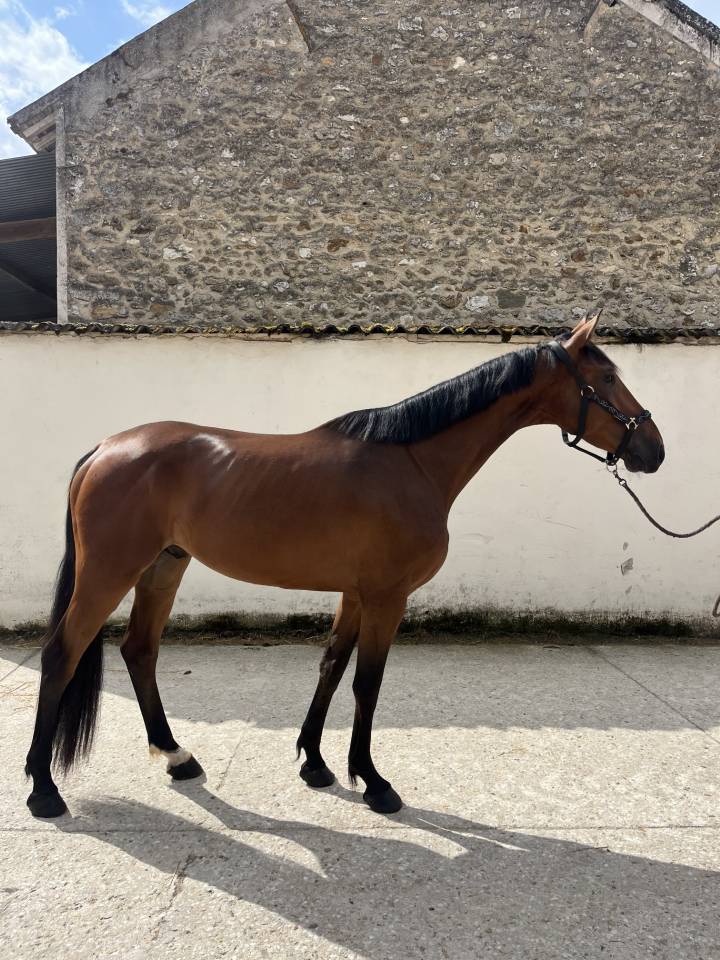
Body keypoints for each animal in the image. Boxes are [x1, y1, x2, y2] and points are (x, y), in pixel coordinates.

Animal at [25, 314, 665, 819]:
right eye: (609, 379)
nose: (653, 450)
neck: (412, 462)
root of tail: (105, 448)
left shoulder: (357, 594)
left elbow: (332, 665)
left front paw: (314, 763)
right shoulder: (387, 596)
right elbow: (366, 682)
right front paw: (374, 782)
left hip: (164, 567)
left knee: (140, 650)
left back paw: (176, 756)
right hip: (109, 573)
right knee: (63, 653)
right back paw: (42, 789)